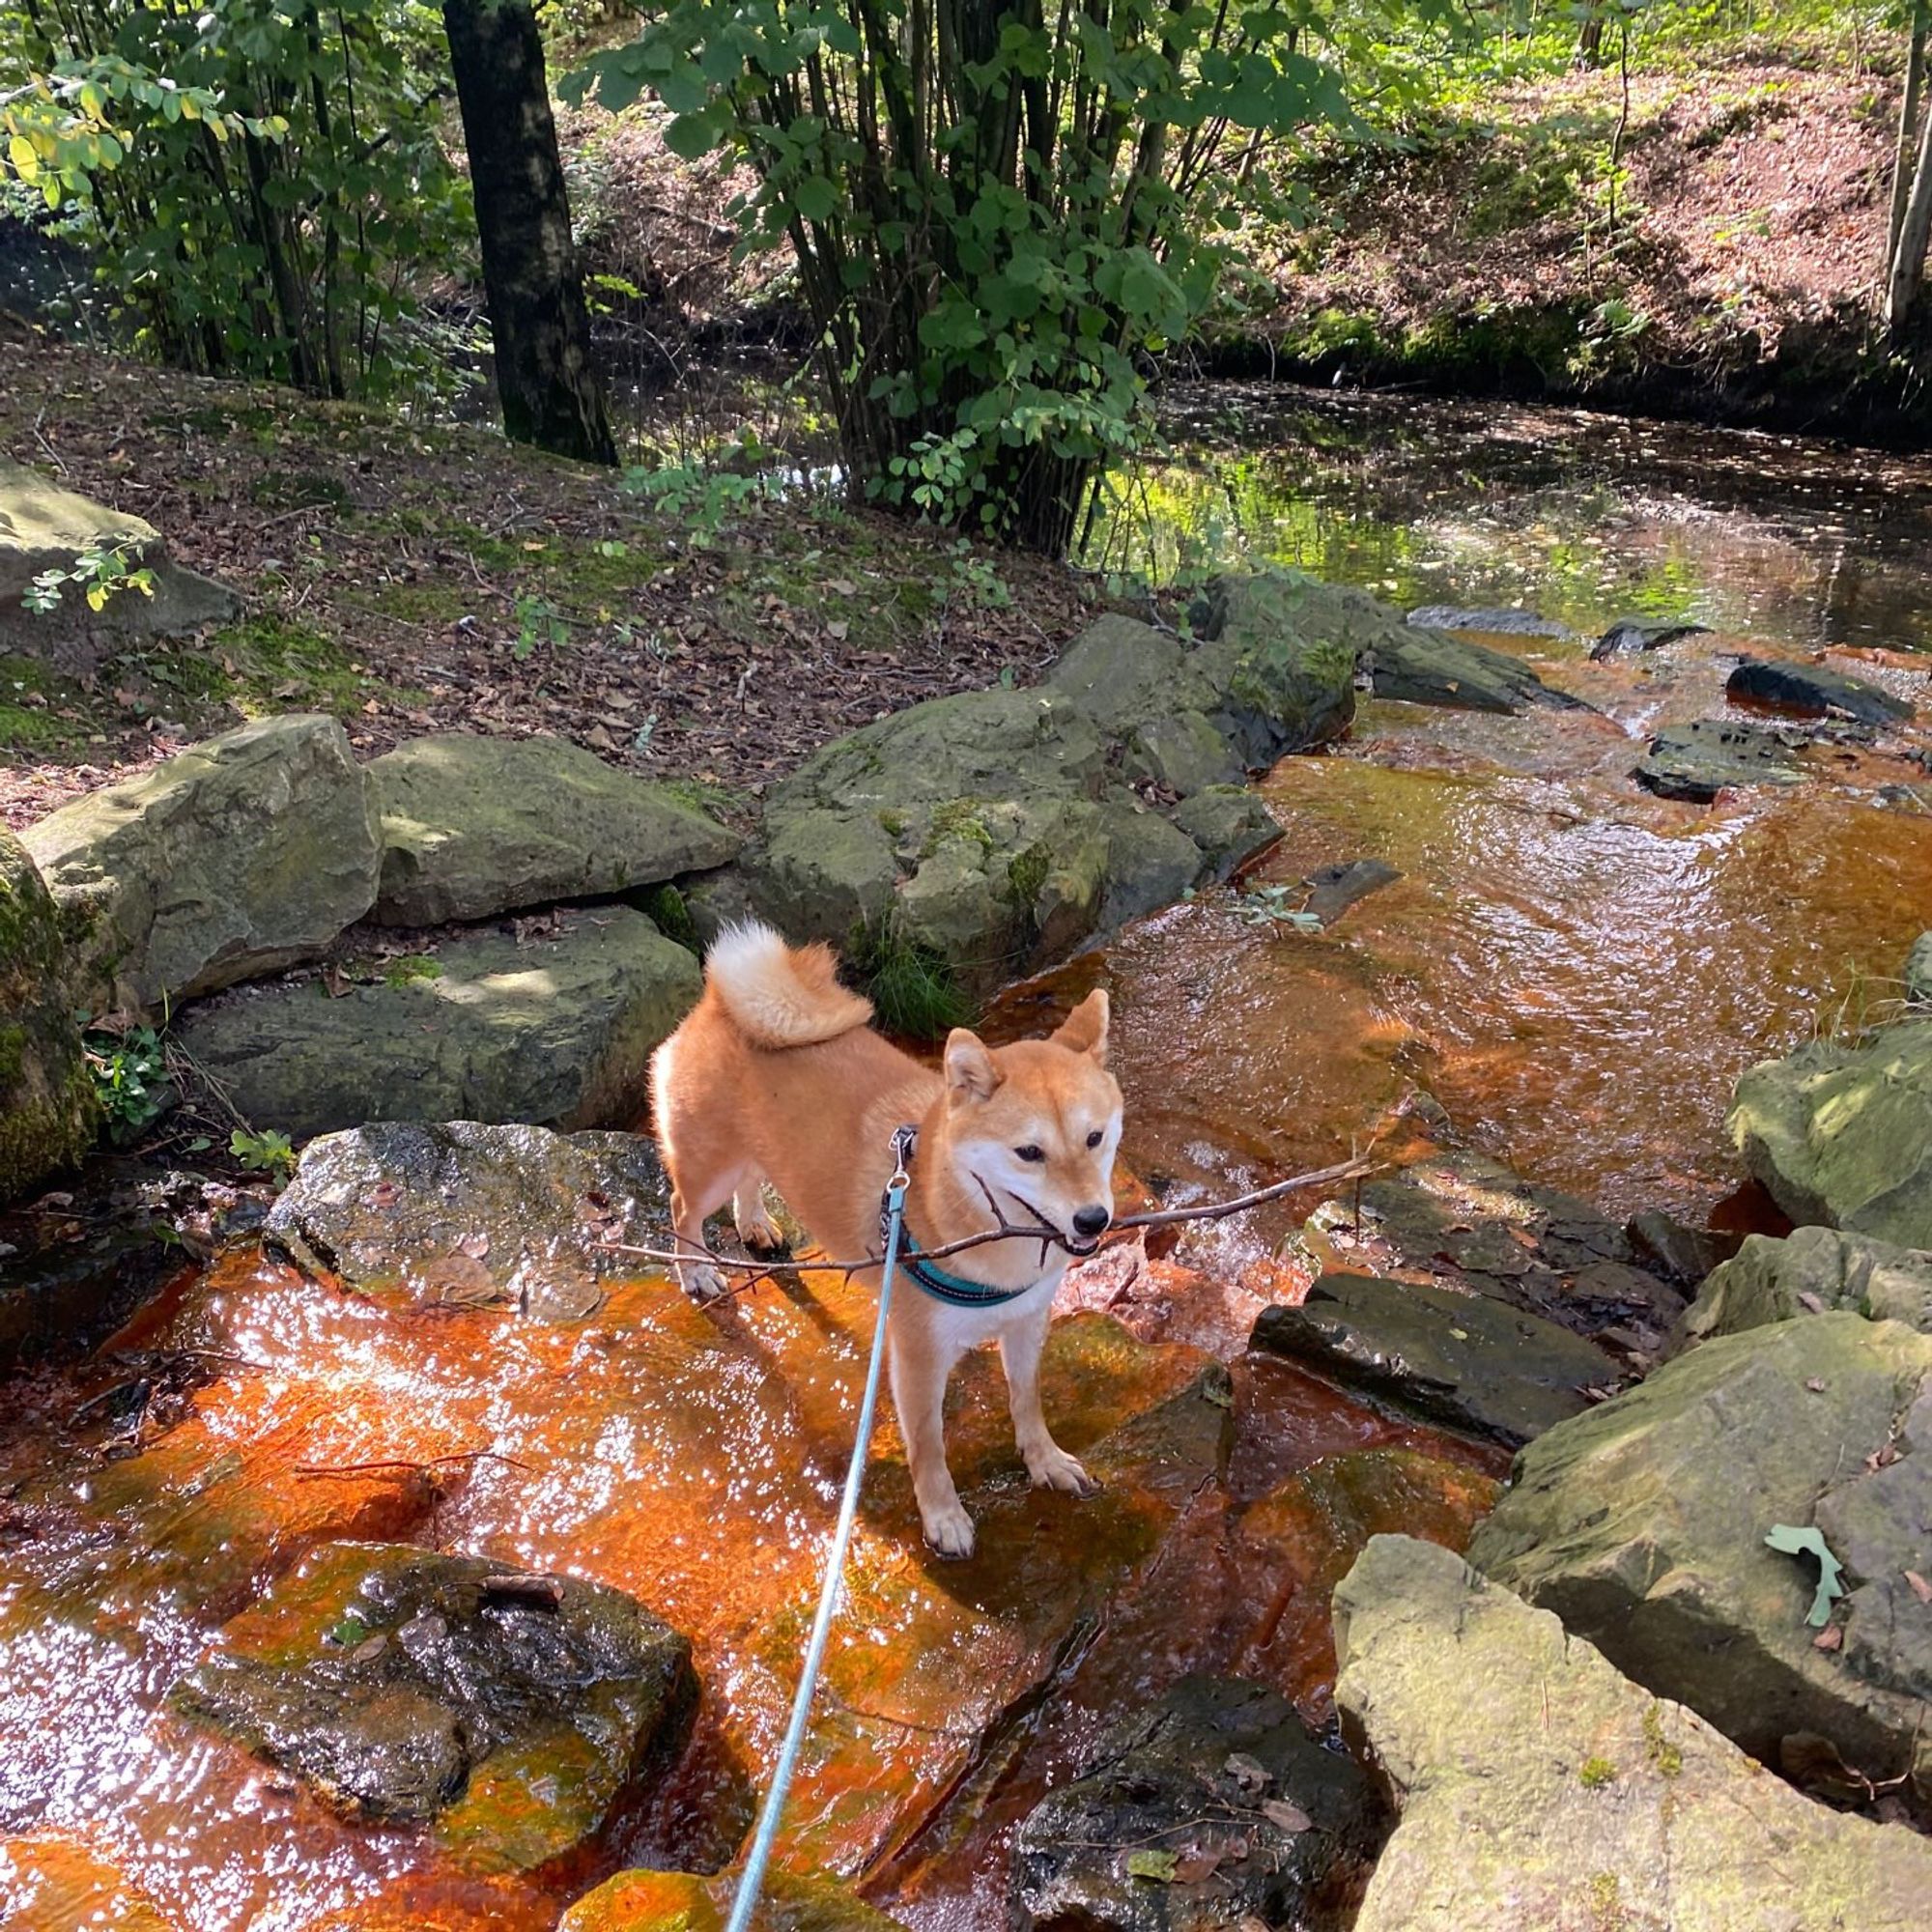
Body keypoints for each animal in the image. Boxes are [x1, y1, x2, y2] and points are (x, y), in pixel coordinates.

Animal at [657, 920, 1128, 1553]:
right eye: (1029, 1153)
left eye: (1095, 1138)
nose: (1092, 1220)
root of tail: (717, 1001)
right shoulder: (918, 1356)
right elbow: (929, 1446)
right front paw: (943, 1517)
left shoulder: (1027, 1323)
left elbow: (1026, 1402)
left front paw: (1045, 1460)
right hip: (709, 1168)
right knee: (683, 1210)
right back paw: (696, 1269)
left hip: (756, 1155)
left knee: (752, 1182)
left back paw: (754, 1223)